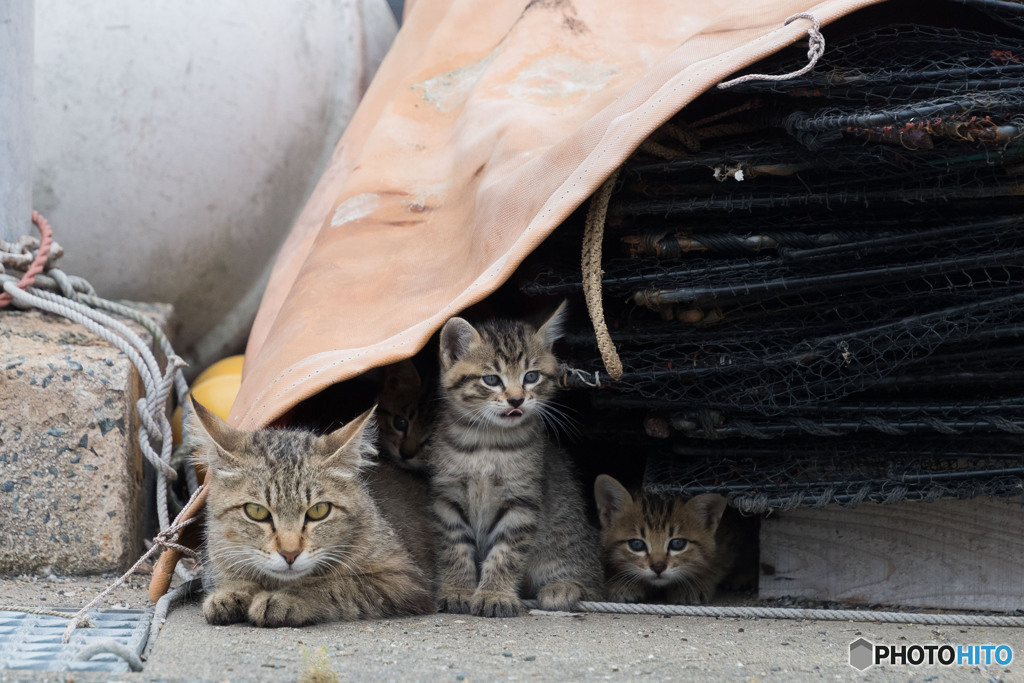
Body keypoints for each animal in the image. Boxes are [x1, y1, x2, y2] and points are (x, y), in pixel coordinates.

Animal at [190, 401, 434, 630]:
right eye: (256, 511)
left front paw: (288, 597)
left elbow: (336, 585)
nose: (290, 554)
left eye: (319, 511)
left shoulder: (403, 578)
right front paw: (232, 591)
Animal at [428, 305, 602, 618]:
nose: (517, 400)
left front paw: (494, 594)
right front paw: (456, 589)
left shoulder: (522, 500)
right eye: (492, 380)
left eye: (531, 376)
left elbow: (506, 552)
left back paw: (563, 587)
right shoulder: (447, 497)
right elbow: (453, 547)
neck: (487, 442)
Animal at [593, 475, 737, 602]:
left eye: (677, 543)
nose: (658, 567)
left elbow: (715, 565)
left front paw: (693, 584)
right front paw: (621, 584)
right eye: (637, 544)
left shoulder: (727, 541)